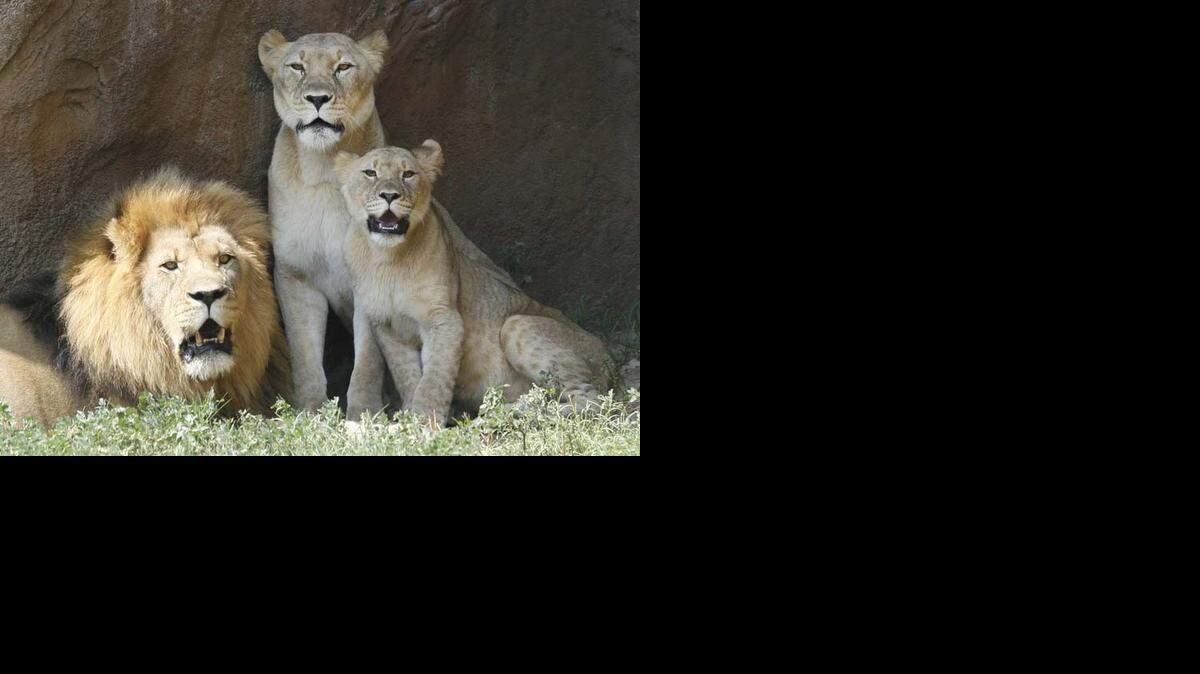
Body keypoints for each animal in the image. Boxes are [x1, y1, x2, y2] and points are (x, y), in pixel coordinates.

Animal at [258, 28, 510, 412]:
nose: (317, 98)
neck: (323, 170)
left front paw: (363, 413)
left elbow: (368, 361)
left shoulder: (367, 287)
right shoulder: (295, 275)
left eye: (343, 67)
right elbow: (304, 352)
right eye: (297, 67)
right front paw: (310, 410)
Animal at [333, 143, 611, 425]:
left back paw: (501, 417)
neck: (388, 259)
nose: (389, 195)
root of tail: (609, 359)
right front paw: (410, 418)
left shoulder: (444, 319)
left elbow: (434, 379)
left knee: (591, 401)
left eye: (408, 174)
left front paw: (424, 423)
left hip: (517, 325)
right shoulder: (388, 327)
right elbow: (408, 377)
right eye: (370, 173)